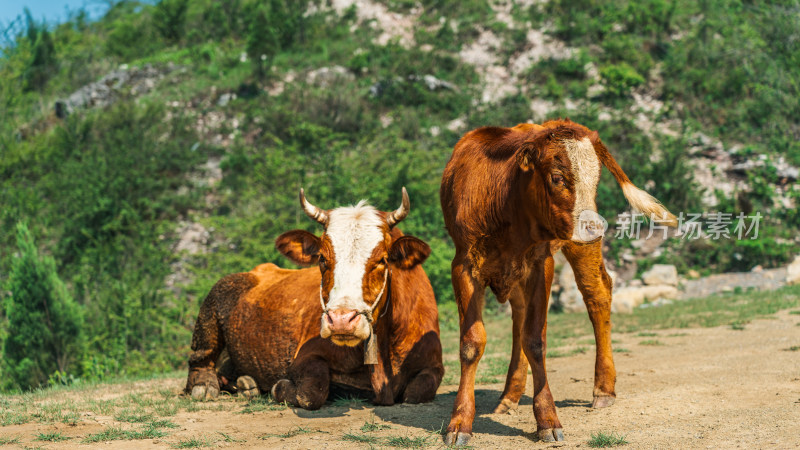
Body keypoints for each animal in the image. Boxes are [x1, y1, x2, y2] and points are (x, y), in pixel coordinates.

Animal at [184, 188, 444, 410]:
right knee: (201, 356)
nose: (341, 320)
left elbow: (417, 391)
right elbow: (311, 391)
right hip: (215, 300)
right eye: (322, 258)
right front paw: (280, 388)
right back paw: (205, 385)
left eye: (383, 260)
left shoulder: (434, 365)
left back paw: (247, 384)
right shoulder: (305, 356)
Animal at [440, 118, 680, 444]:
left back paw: (604, 389)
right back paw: (510, 396)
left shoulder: (541, 264)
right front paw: (460, 421)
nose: (596, 227)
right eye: (557, 178)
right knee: (519, 316)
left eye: (596, 179)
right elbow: (472, 342)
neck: (505, 204)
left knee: (597, 294)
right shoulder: (464, 266)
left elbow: (535, 340)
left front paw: (547, 419)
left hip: (579, 245)